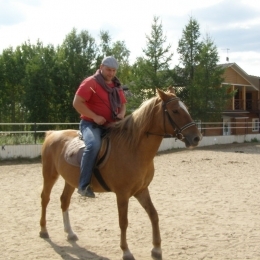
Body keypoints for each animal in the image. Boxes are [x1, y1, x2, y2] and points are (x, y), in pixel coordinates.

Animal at [39, 88, 201, 260]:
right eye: (175, 110)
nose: (196, 137)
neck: (133, 148)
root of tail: (52, 133)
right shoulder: (122, 194)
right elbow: (123, 222)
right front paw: (126, 251)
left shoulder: (141, 190)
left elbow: (153, 215)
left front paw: (156, 249)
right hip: (49, 175)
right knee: (45, 198)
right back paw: (44, 230)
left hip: (71, 180)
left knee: (64, 201)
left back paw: (70, 233)